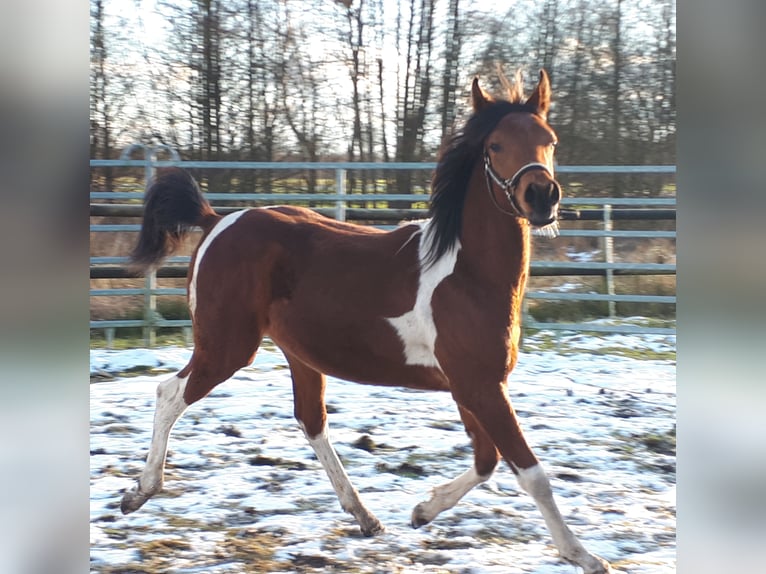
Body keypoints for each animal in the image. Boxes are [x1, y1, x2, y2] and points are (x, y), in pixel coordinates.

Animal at [120, 70, 612, 572]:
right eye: (495, 145)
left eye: (549, 140)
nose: (542, 197)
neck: (468, 274)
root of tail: (216, 220)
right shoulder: (480, 386)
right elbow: (530, 472)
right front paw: (584, 556)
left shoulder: (470, 386)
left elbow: (486, 460)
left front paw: (422, 510)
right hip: (227, 346)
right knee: (170, 393)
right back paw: (139, 493)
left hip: (299, 354)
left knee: (311, 421)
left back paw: (366, 516)